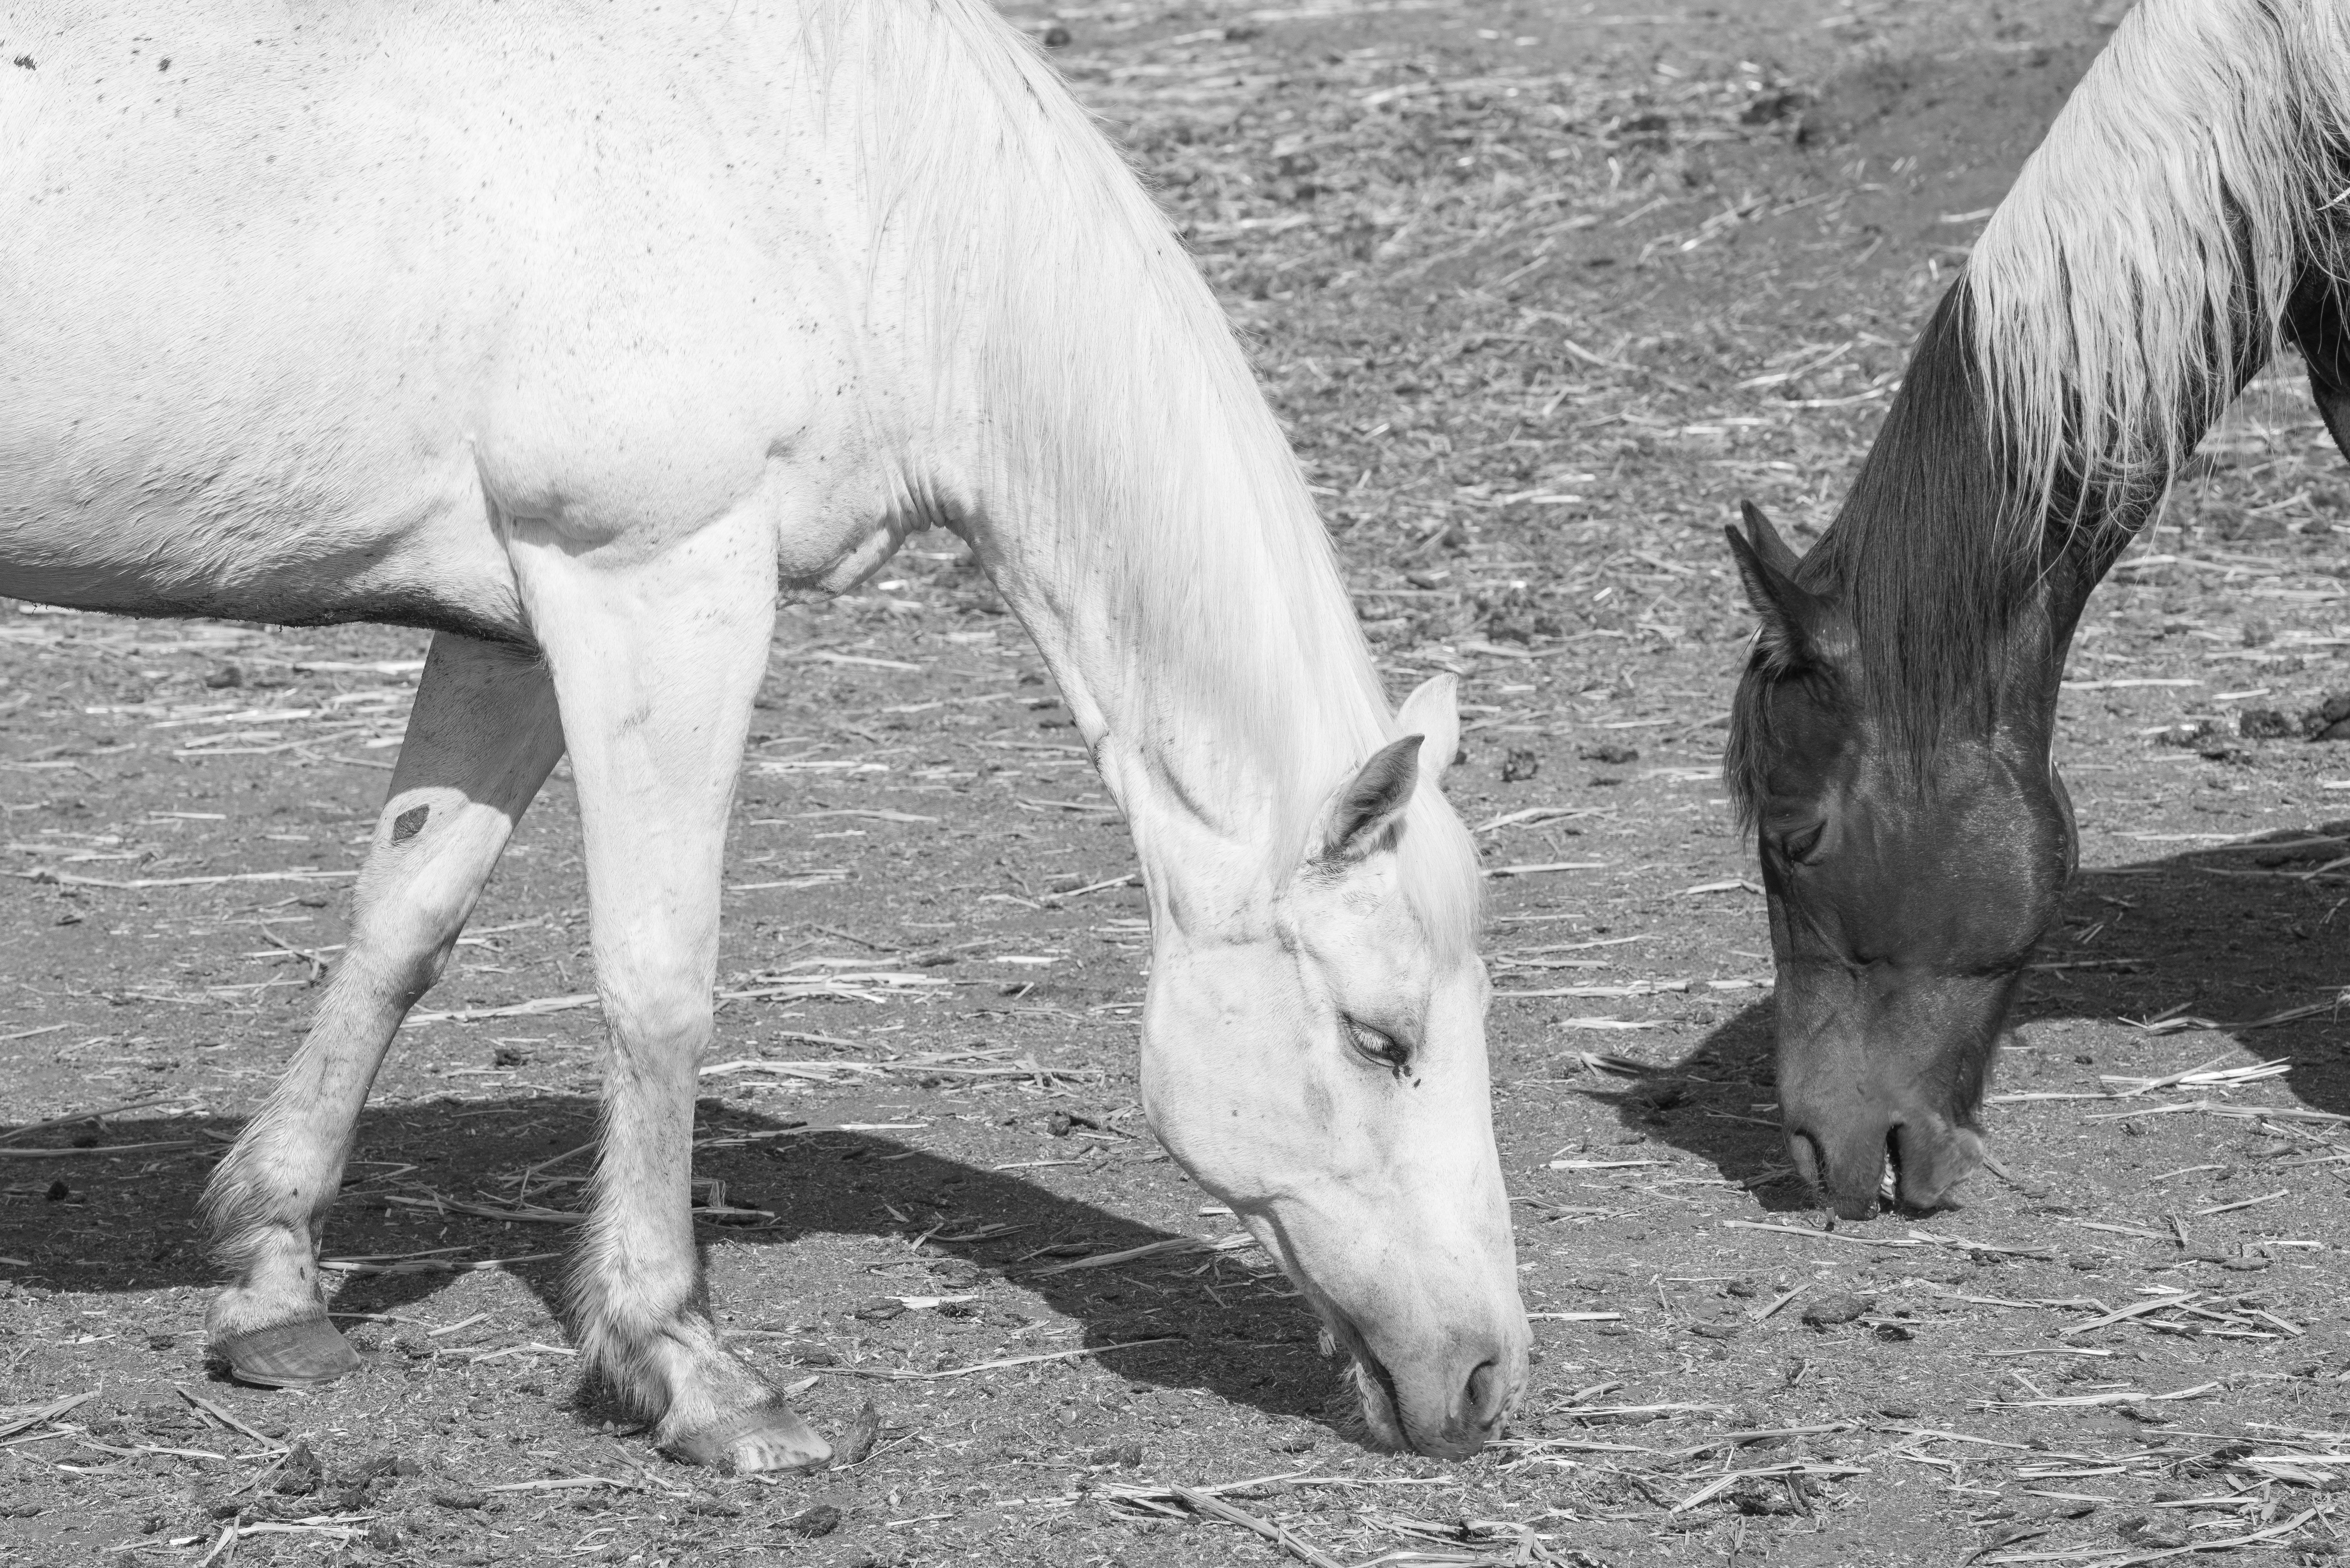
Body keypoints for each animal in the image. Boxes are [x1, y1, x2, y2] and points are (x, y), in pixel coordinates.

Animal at [0, 0, 1523, 1476]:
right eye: (1379, 1035)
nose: (1482, 1374)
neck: (849, 165)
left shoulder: (517, 623)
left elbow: (405, 922)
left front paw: (274, 1285)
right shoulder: (658, 582)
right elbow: (660, 983)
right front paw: (686, 1366)